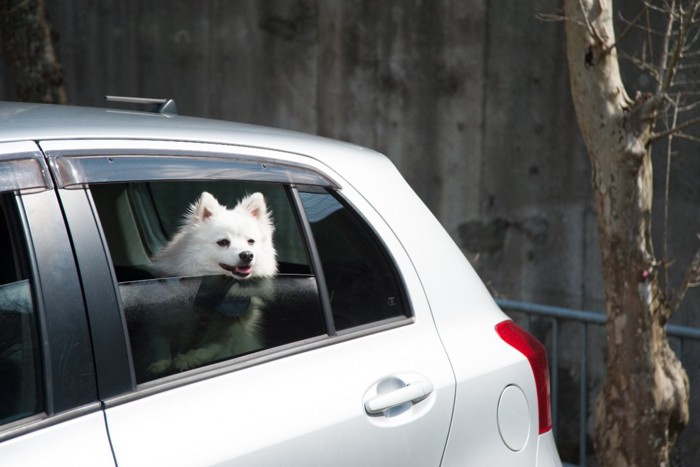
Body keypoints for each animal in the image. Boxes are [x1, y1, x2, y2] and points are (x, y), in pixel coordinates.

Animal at [146, 192, 278, 374]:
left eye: (251, 241)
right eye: (223, 242)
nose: (247, 255)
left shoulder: (227, 335)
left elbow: (209, 349)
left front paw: (187, 359)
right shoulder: (161, 323)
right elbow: (160, 340)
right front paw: (160, 362)